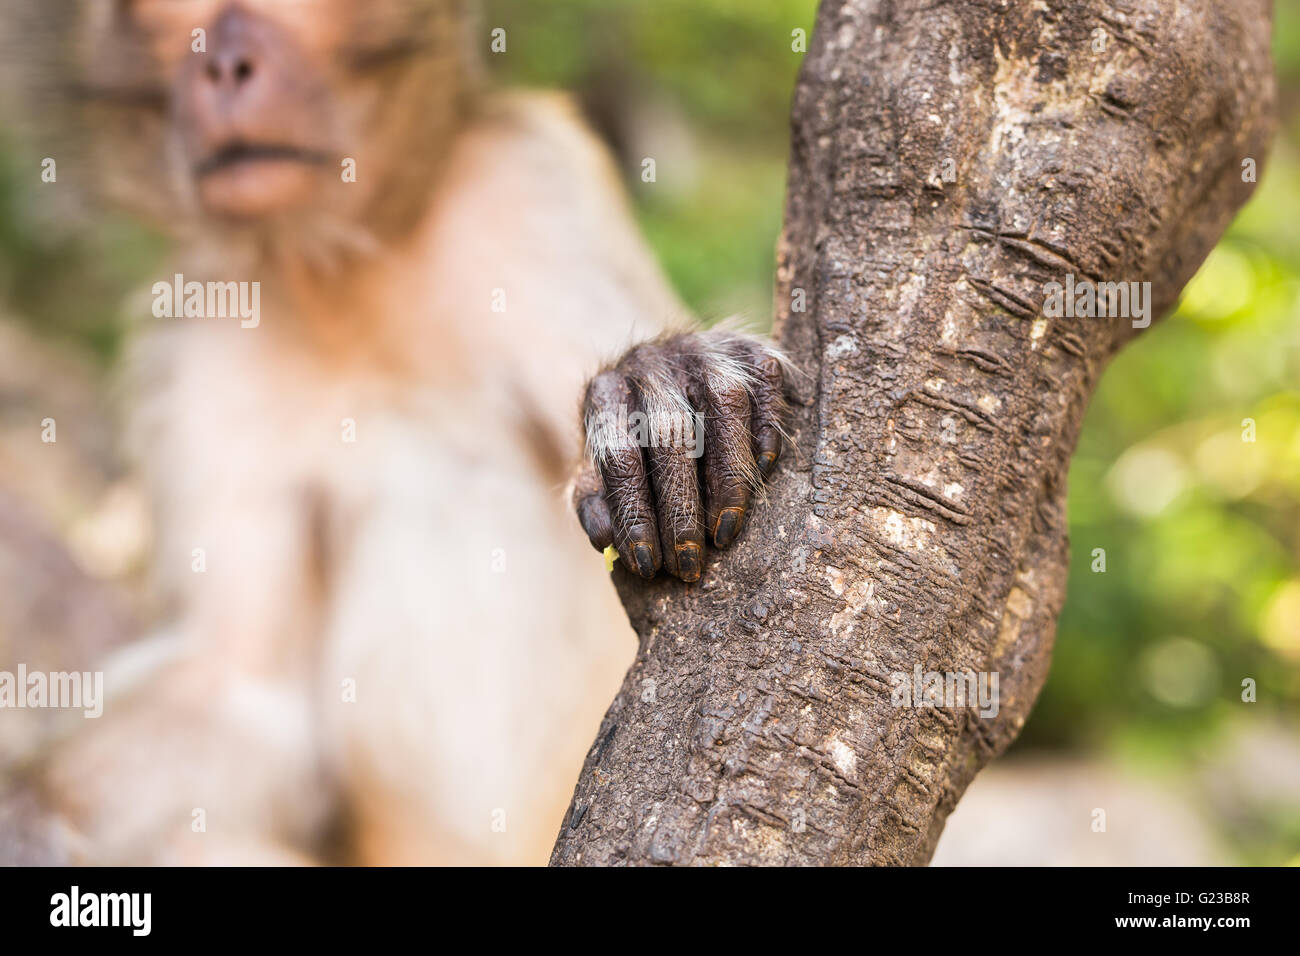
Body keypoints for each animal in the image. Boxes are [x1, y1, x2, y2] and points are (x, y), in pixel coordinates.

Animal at [0, 0, 787, 865]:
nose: (224, 67)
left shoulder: (529, 187)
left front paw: (663, 375)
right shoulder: (195, 334)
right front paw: (25, 812)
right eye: (170, 15)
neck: (342, 271)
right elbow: (246, 691)